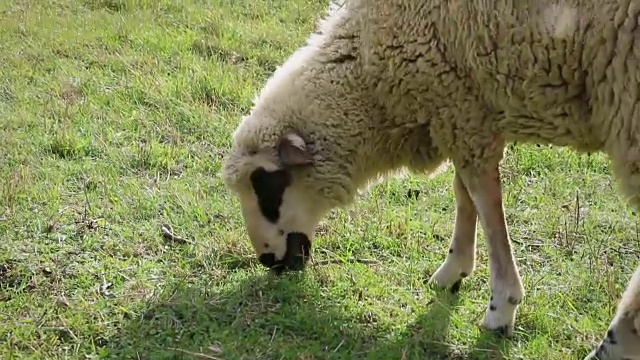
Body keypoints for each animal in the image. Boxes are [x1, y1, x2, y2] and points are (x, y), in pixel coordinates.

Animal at [220, 0, 640, 358]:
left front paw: (501, 306)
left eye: (267, 184)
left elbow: (485, 202)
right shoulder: (463, 109)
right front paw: (454, 270)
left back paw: (614, 343)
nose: (267, 261)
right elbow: (464, 192)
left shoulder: (460, 108)